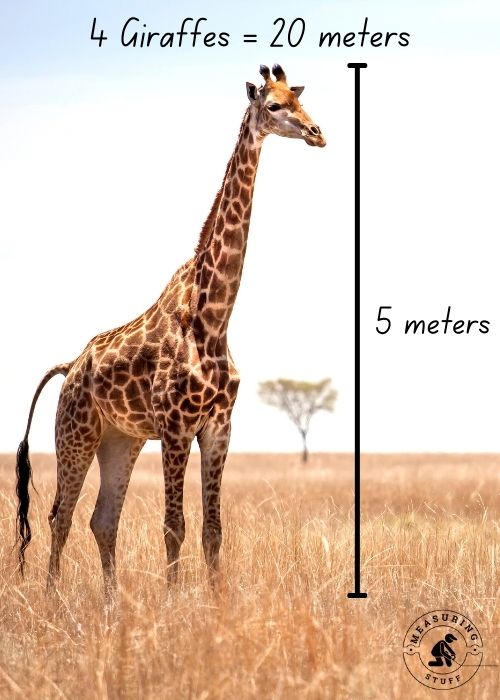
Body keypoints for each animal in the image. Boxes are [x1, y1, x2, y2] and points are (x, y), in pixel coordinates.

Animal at [16, 64, 326, 595]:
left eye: (300, 100)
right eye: (274, 106)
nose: (316, 133)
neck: (214, 317)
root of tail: (70, 366)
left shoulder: (219, 426)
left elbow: (213, 529)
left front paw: (215, 603)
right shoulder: (177, 426)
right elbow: (173, 526)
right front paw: (174, 601)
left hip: (121, 439)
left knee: (103, 519)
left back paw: (112, 602)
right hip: (75, 431)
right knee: (60, 515)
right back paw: (53, 597)